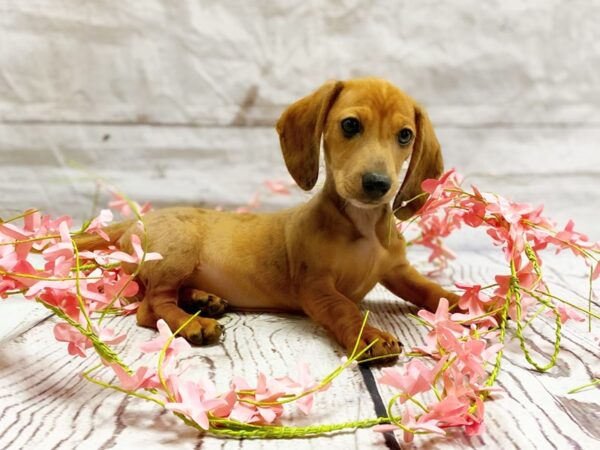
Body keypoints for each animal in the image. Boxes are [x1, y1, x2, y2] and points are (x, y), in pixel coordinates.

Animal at [76, 76, 460, 358]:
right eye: (350, 125)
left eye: (405, 135)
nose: (378, 184)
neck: (361, 224)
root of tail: (136, 220)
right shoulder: (316, 287)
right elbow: (344, 308)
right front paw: (370, 334)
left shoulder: (398, 271)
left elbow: (430, 290)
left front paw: (463, 303)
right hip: (177, 253)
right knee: (151, 305)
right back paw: (192, 324)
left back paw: (202, 299)